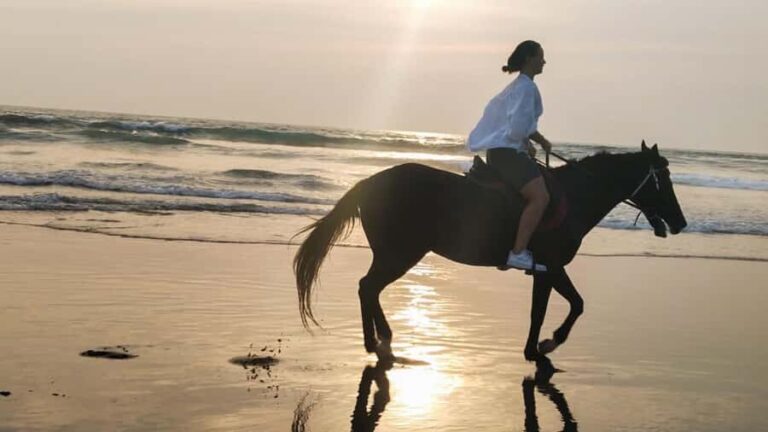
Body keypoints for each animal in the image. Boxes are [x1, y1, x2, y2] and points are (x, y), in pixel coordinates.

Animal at [293, 141, 687, 361]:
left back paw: (380, 340)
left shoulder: (547, 270)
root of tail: (369, 183)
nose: (680, 222)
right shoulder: (550, 267)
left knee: (369, 289)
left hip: (395, 254)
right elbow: (563, 307)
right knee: (367, 287)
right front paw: (544, 346)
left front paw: (540, 347)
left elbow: (563, 307)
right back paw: (379, 341)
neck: (575, 198)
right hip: (400, 254)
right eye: (662, 179)